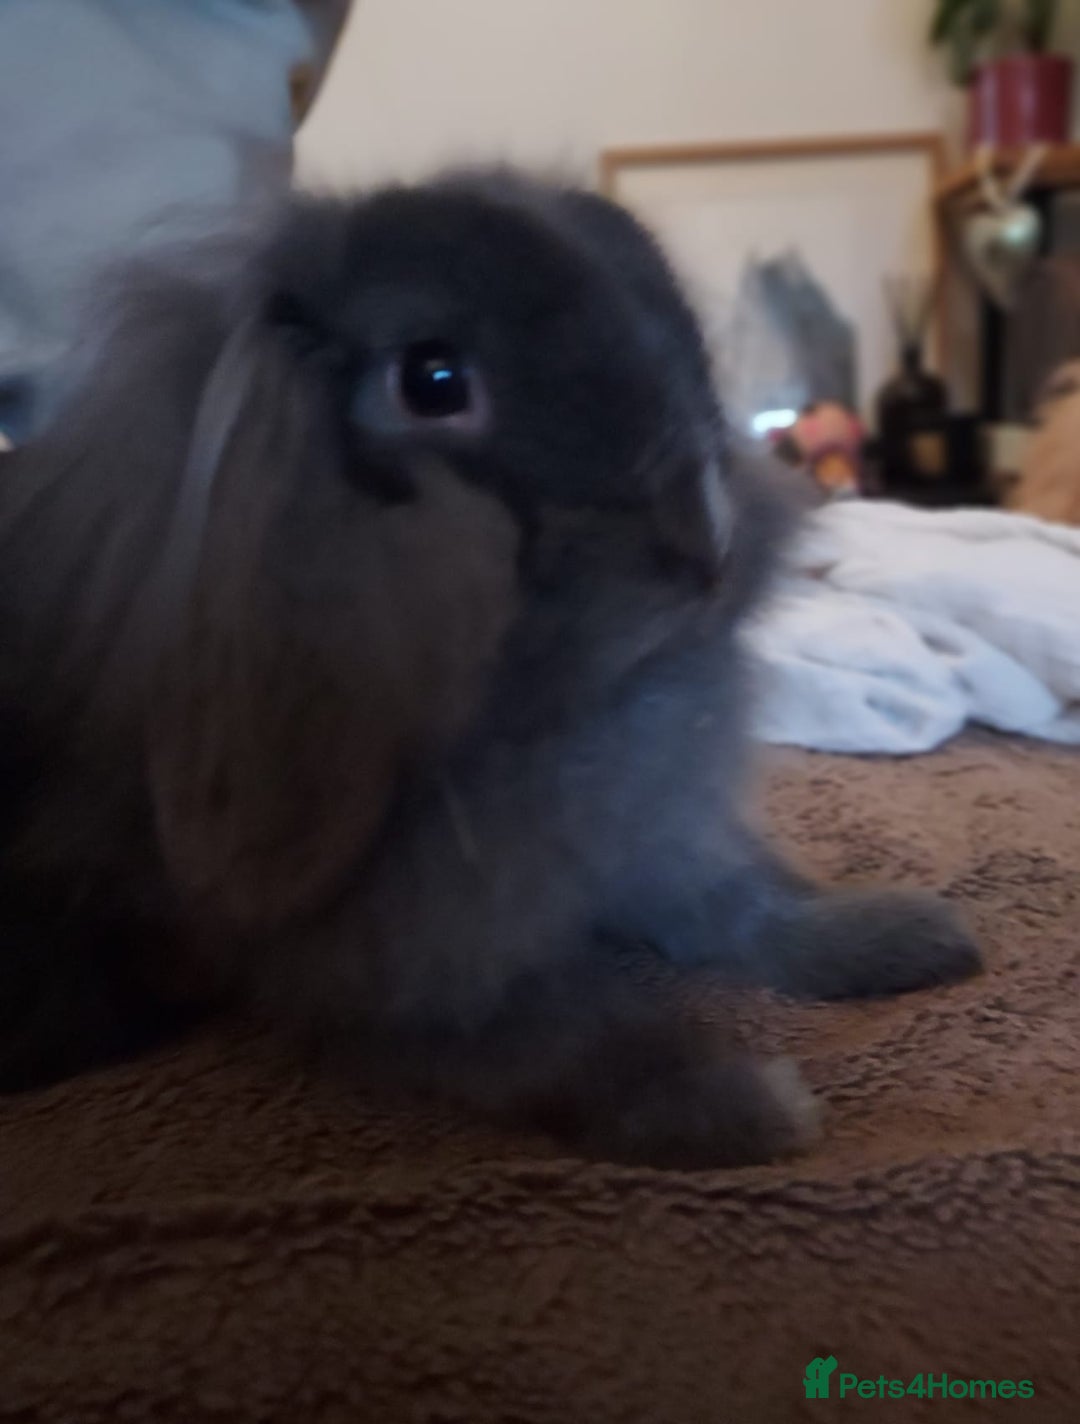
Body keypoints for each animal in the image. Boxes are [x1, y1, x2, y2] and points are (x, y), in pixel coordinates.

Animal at [0, 170, 982, 1167]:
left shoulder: (655, 840)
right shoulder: (415, 966)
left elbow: (741, 906)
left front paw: (901, 936)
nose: (708, 539)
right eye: (432, 382)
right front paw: (740, 1107)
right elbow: (572, 1037)